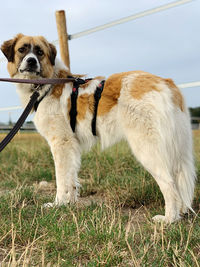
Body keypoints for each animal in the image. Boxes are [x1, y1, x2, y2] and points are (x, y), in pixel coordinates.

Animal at [0, 34, 196, 224]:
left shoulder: (62, 144)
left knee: (169, 184)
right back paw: (179, 213)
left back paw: (169, 219)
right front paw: (68, 203)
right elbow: (71, 178)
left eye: (39, 52)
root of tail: (166, 82)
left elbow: (61, 178)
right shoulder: (71, 146)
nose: (31, 61)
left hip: (148, 149)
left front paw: (58, 203)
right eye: (22, 49)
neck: (48, 83)